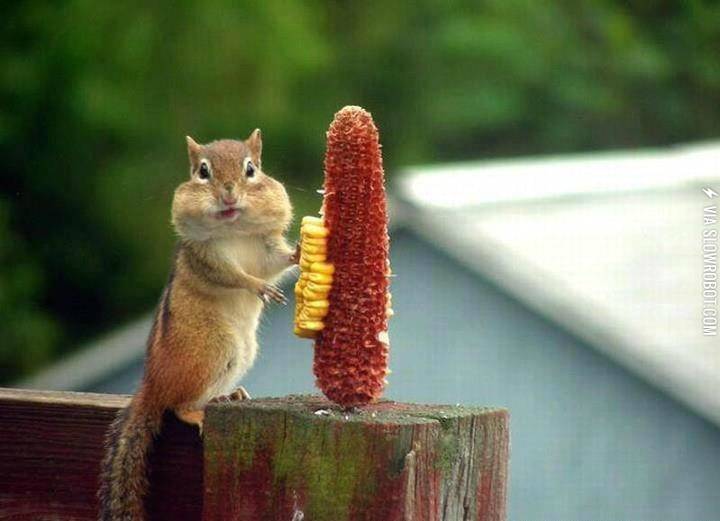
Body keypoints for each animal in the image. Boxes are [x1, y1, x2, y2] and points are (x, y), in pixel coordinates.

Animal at [97, 130, 297, 520]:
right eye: (203, 172)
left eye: (251, 169)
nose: (229, 193)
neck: (234, 229)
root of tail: (152, 384)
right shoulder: (205, 256)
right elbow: (231, 275)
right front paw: (257, 287)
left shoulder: (266, 247)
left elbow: (278, 261)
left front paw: (300, 252)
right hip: (216, 348)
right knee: (178, 406)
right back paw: (200, 411)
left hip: (240, 352)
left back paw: (229, 395)